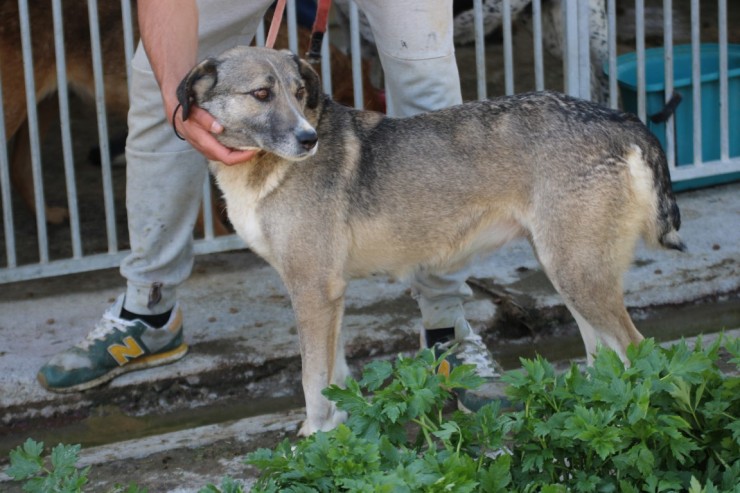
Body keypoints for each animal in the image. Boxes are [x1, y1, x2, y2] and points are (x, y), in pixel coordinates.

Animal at [176, 46, 684, 436]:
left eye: (299, 94)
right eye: (262, 94)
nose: (308, 139)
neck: (260, 170)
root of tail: (618, 116)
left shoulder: (313, 291)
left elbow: (311, 380)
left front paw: (313, 437)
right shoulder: (328, 295)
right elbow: (334, 375)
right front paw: (337, 429)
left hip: (577, 274)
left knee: (639, 350)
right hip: (566, 271)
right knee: (605, 356)